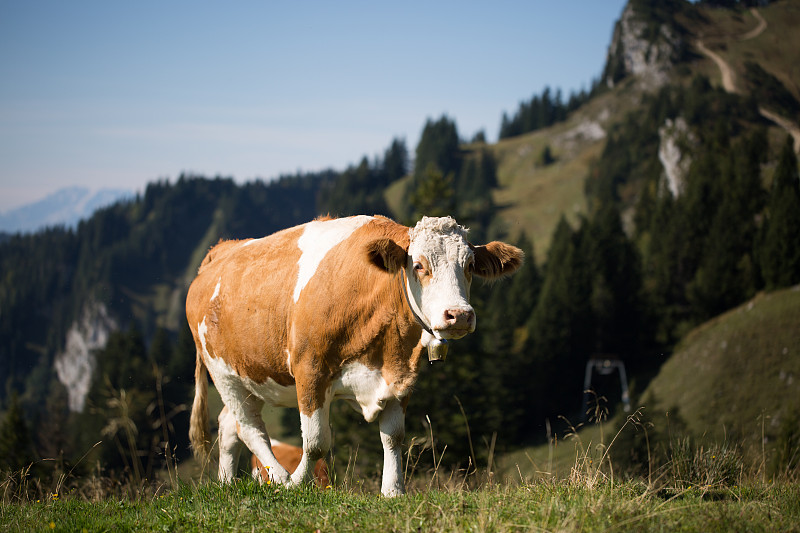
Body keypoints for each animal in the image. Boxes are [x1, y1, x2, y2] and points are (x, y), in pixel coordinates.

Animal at [188, 213, 524, 494]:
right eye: (418, 265)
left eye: (469, 267)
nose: (459, 315)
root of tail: (221, 251)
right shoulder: (310, 370)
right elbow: (316, 442)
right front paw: (297, 483)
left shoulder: (400, 377)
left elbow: (393, 436)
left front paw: (393, 491)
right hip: (223, 373)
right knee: (249, 427)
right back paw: (280, 478)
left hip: (249, 377)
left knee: (228, 425)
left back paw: (226, 484)